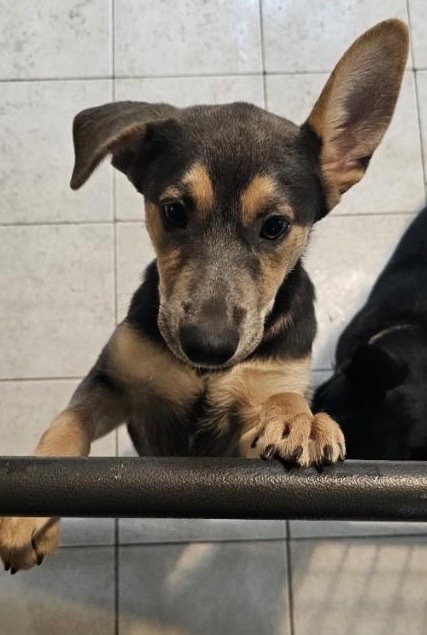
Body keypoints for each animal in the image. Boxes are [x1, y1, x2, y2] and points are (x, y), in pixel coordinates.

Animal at [0, 19, 408, 572]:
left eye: (275, 226)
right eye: (173, 211)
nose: (207, 347)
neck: (203, 378)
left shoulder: (241, 443)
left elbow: (279, 398)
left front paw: (302, 421)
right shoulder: (114, 384)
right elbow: (66, 423)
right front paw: (26, 516)